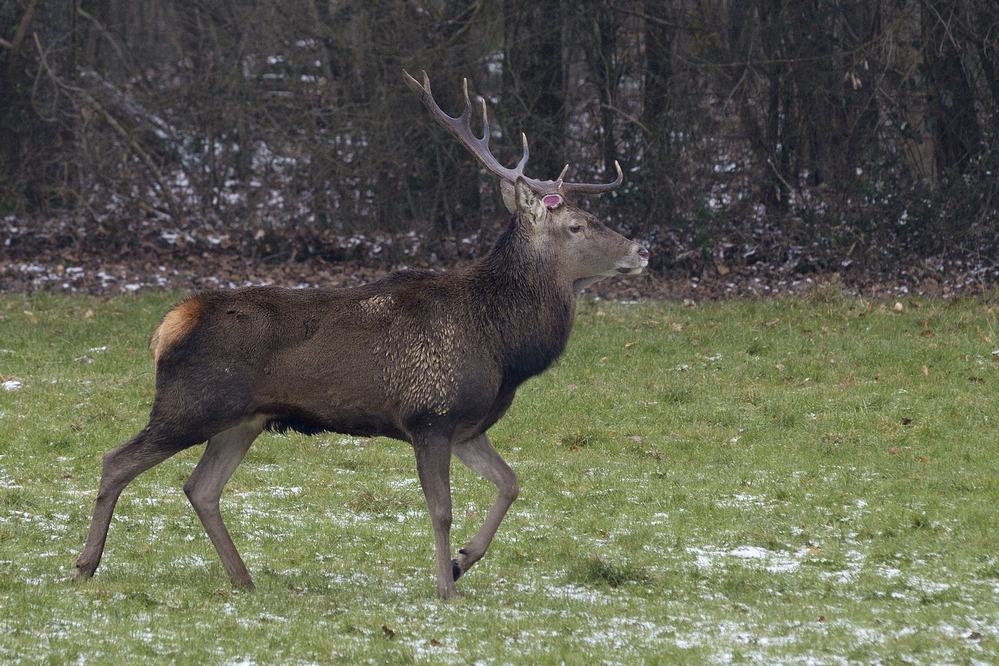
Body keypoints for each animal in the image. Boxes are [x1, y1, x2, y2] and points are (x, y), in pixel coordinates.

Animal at [78, 71, 652, 596]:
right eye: (576, 226)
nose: (641, 249)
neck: (504, 347)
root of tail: (170, 324)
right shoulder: (430, 415)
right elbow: (441, 509)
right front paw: (445, 586)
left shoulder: (468, 425)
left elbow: (510, 484)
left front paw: (463, 562)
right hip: (192, 403)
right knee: (117, 460)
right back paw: (86, 563)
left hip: (242, 420)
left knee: (200, 487)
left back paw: (243, 579)